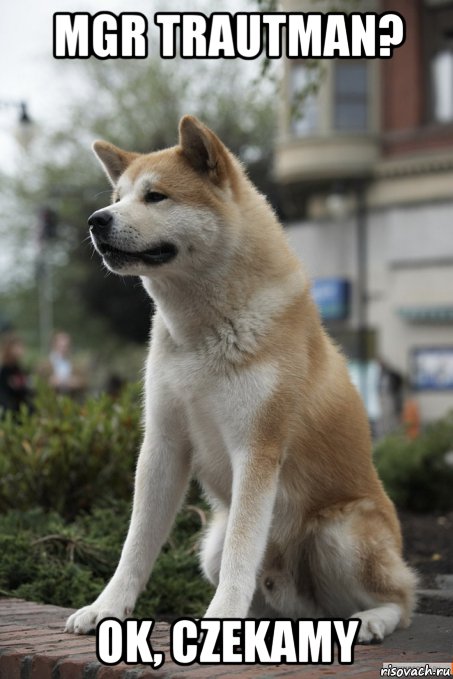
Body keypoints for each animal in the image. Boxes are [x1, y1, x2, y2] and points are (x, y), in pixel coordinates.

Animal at [65, 115, 414, 644]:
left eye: (156, 196)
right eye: (118, 196)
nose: (96, 219)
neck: (203, 332)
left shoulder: (257, 448)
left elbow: (241, 552)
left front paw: (220, 619)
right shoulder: (163, 444)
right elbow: (136, 544)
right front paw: (106, 607)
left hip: (340, 534)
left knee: (402, 598)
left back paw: (371, 620)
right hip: (211, 543)